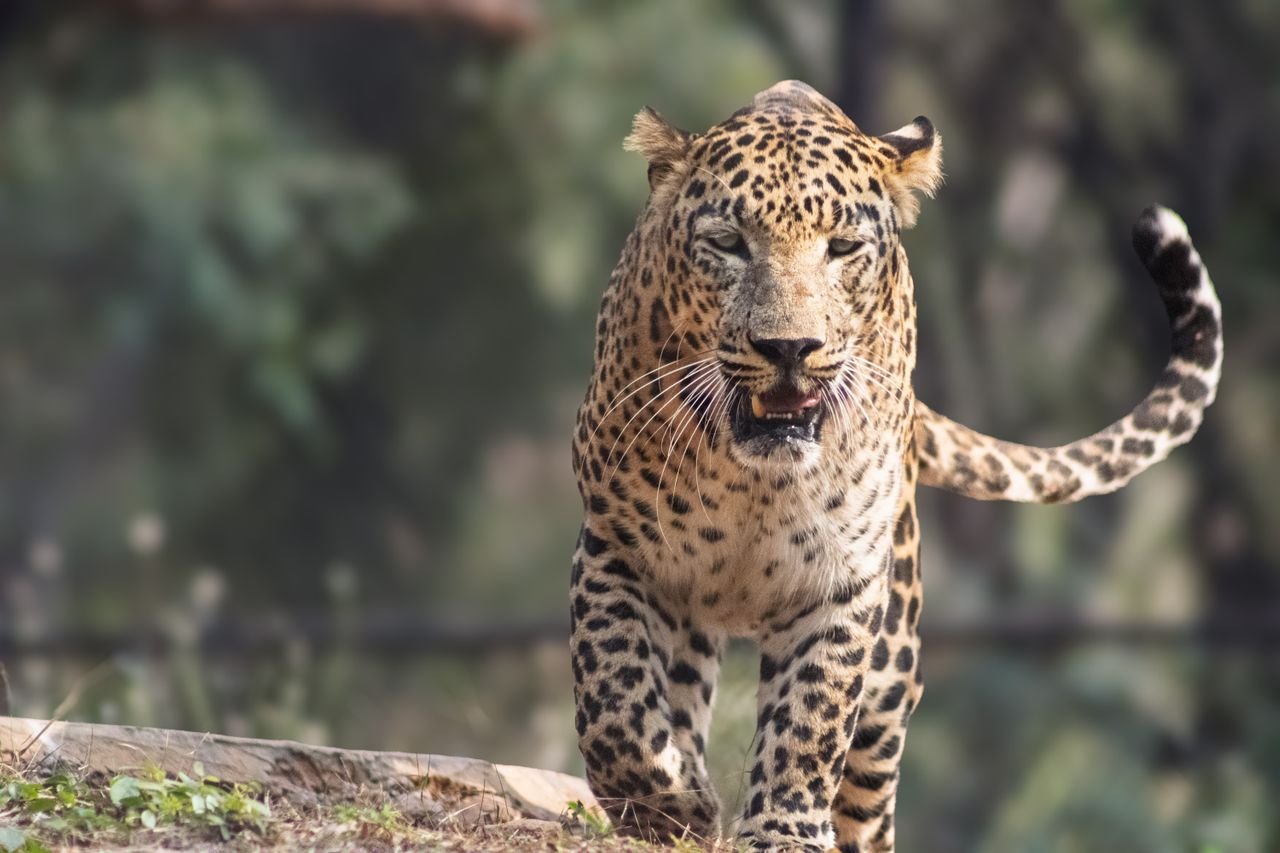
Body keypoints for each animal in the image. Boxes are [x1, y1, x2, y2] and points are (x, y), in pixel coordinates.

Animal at [568, 80, 1222, 852]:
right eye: (729, 244)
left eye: (842, 248)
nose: (788, 347)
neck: (753, 478)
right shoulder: (616, 546)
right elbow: (613, 694)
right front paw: (668, 805)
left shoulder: (843, 584)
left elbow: (810, 718)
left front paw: (783, 829)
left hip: (891, 660)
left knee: (869, 795)